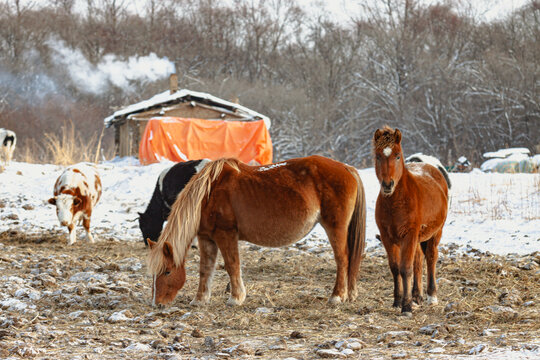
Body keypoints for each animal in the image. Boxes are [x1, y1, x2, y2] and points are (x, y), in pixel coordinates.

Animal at [148, 155, 368, 306]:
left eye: (167, 271)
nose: (157, 304)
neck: (208, 193)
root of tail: (347, 168)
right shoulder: (206, 238)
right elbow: (205, 269)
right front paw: (200, 300)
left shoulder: (226, 234)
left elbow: (232, 265)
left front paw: (236, 298)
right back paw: (350, 294)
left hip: (335, 228)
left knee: (343, 260)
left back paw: (337, 296)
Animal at [372, 126, 452, 316]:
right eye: (378, 156)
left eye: (397, 155)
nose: (388, 185)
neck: (396, 202)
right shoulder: (387, 237)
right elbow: (395, 268)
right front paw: (397, 301)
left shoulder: (409, 235)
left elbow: (405, 269)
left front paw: (406, 306)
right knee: (418, 260)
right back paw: (417, 296)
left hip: (436, 232)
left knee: (430, 257)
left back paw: (431, 296)